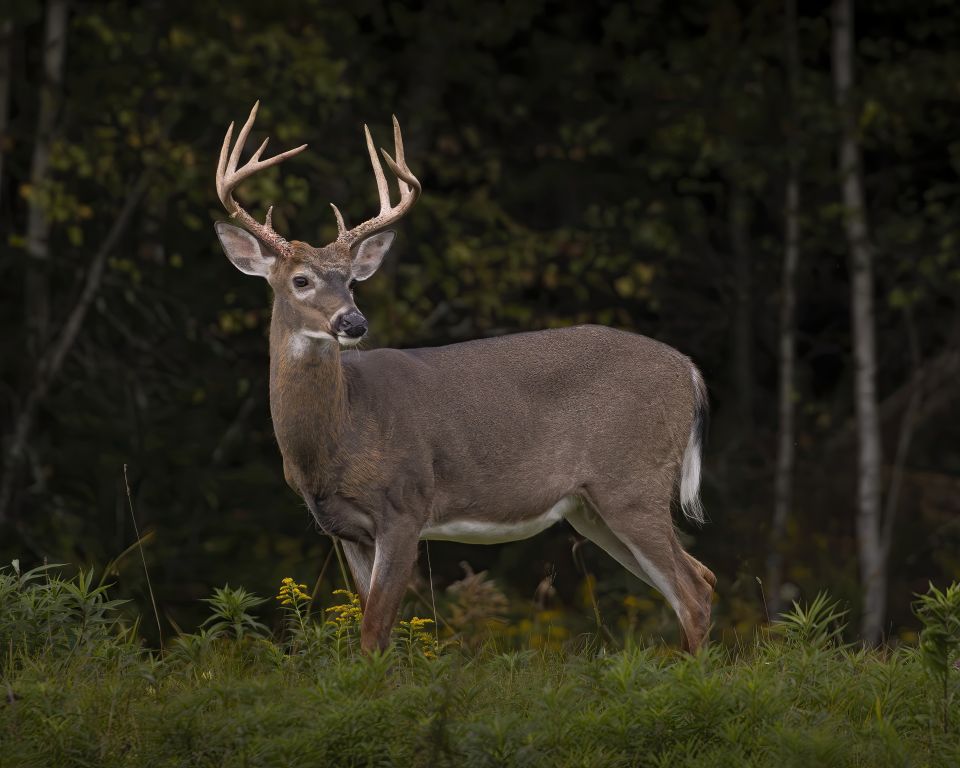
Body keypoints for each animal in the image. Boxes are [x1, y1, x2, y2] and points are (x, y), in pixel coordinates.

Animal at [213, 102, 716, 654]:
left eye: (350, 282)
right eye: (301, 280)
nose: (354, 322)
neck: (339, 434)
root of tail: (690, 370)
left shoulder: (406, 504)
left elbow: (375, 632)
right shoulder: (345, 531)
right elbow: (368, 625)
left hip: (632, 482)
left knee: (694, 593)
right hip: (591, 507)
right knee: (702, 577)